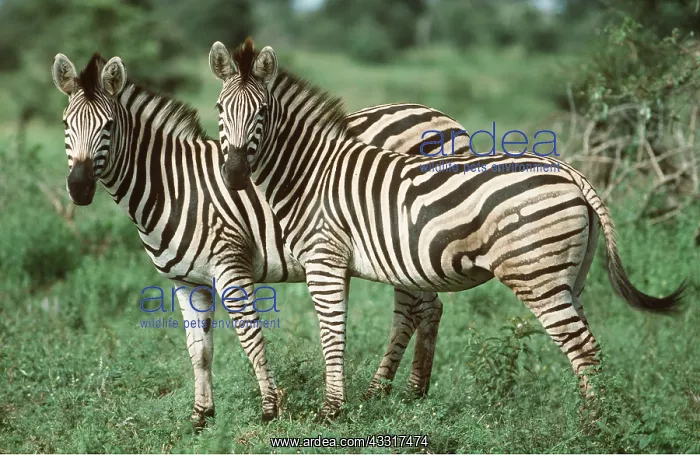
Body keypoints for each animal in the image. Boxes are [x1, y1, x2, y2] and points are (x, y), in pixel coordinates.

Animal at [51, 52, 472, 427]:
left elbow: (250, 337)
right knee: (427, 308)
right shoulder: (185, 283)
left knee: (411, 311)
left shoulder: (230, 265)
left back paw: (385, 390)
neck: (174, 187)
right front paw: (200, 417)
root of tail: (445, 118)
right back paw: (409, 392)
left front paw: (271, 409)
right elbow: (199, 351)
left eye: (107, 126)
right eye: (65, 124)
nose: (79, 188)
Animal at [208, 38, 686, 420]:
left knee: (581, 347)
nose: (233, 175)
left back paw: (595, 429)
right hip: (568, 276)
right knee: (586, 346)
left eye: (262, 112)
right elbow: (336, 332)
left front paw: (331, 412)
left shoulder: (324, 259)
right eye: (219, 109)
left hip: (536, 273)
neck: (311, 172)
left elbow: (331, 333)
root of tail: (570, 172)